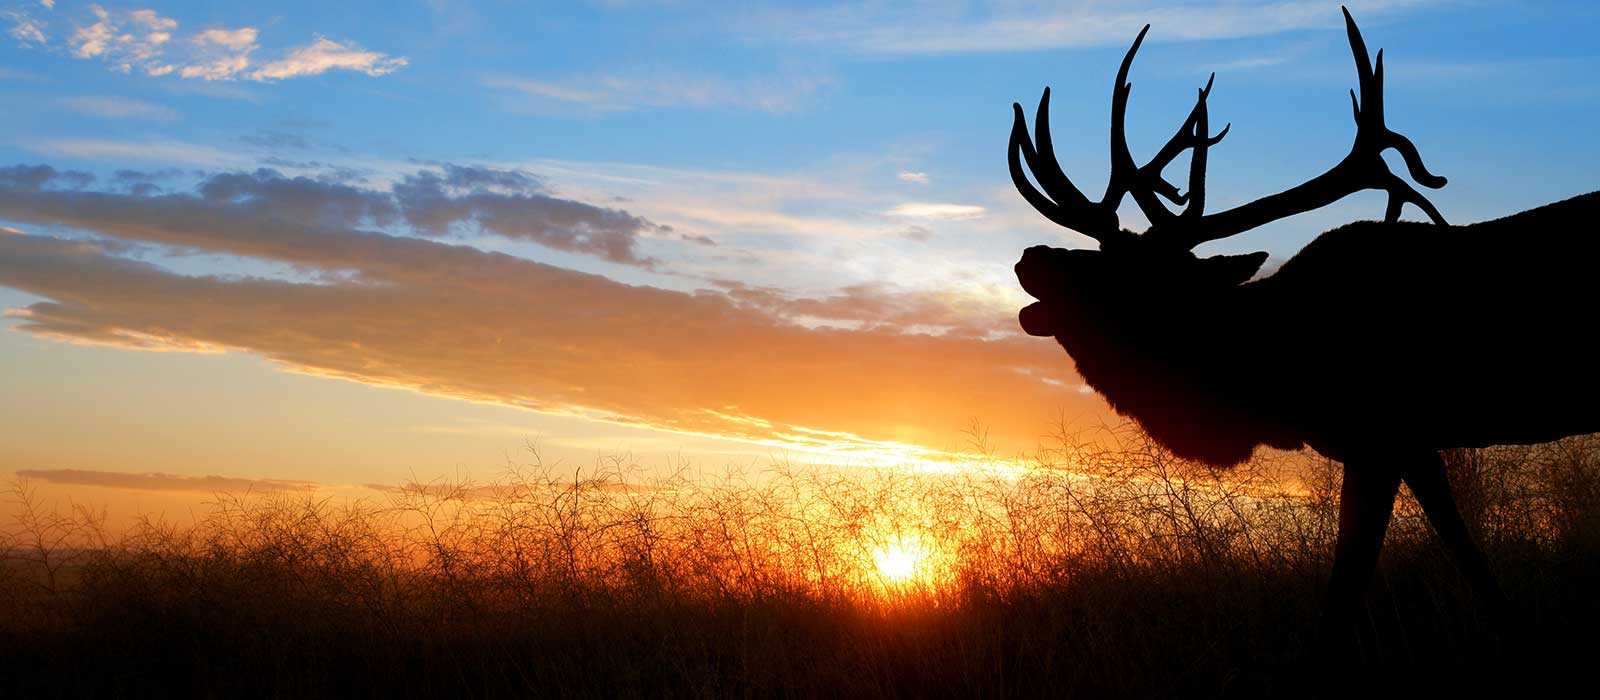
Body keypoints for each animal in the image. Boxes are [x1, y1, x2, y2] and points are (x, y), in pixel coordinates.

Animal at [1009, 5, 1600, 649]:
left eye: (1131, 271)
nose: (1031, 257)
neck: (1279, 383)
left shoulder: (1381, 436)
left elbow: (1346, 593)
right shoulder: (1415, 445)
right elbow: (1469, 559)